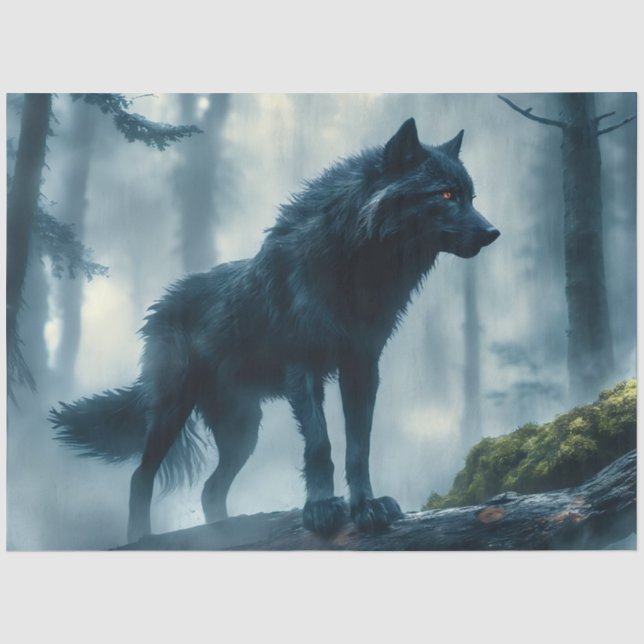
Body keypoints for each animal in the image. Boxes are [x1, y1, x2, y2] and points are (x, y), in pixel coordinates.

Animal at [51, 118, 499, 543]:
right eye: (445, 196)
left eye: (471, 196)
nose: (494, 232)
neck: (358, 265)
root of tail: (160, 304)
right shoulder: (303, 367)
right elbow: (320, 444)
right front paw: (320, 510)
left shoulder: (361, 367)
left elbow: (359, 447)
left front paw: (366, 507)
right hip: (172, 410)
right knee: (140, 477)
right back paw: (141, 538)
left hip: (242, 430)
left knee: (210, 490)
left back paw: (223, 535)